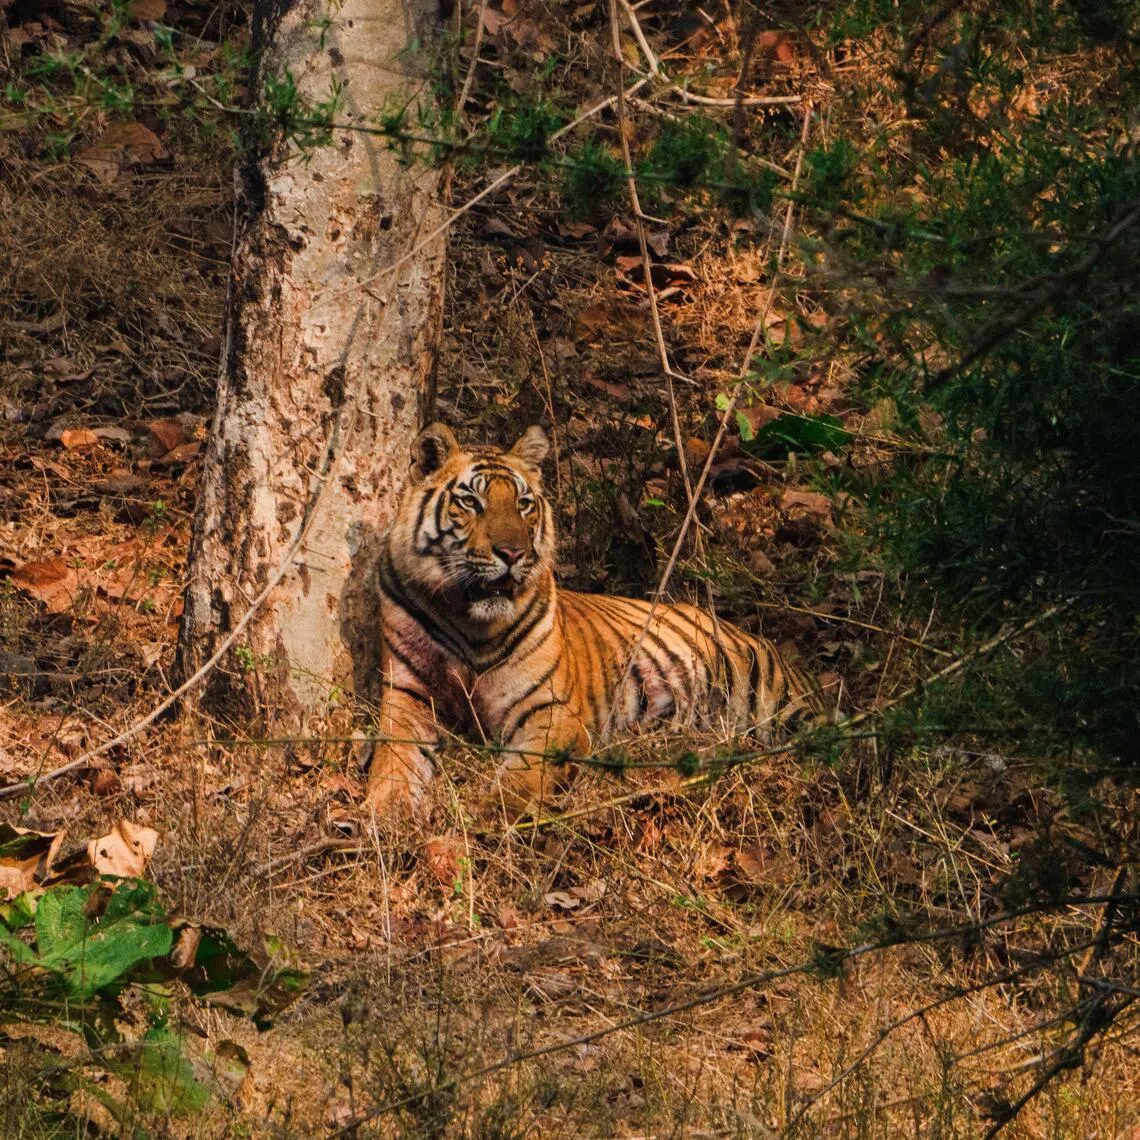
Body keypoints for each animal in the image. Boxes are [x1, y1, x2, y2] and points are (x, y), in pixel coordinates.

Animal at [365, 422, 825, 814]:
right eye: (470, 502)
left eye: (523, 504)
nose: (513, 553)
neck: (470, 622)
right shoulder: (409, 694)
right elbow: (393, 756)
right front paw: (385, 809)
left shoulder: (551, 709)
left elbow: (523, 775)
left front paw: (495, 814)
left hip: (781, 703)